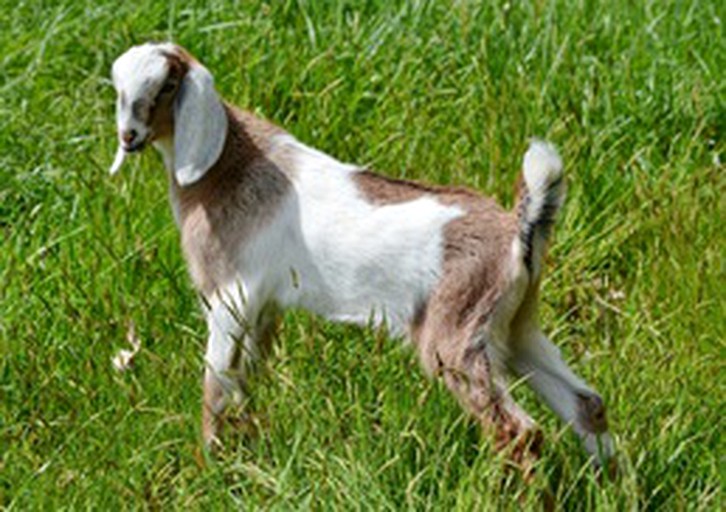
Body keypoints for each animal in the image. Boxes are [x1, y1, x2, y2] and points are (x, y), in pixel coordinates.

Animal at [111, 43, 616, 468]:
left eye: (167, 86)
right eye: (119, 91)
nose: (129, 136)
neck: (228, 167)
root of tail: (518, 230)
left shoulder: (230, 298)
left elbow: (215, 387)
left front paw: (211, 466)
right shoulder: (266, 307)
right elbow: (245, 382)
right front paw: (247, 448)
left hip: (457, 334)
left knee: (519, 433)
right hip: (514, 326)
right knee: (587, 404)